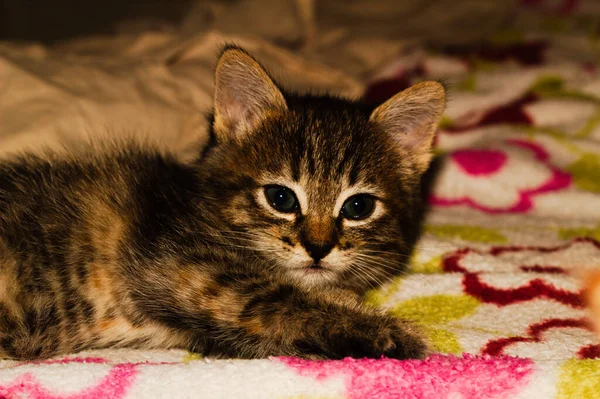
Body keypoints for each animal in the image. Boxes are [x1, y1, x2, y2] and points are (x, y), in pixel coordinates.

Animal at [0, 45, 442, 360]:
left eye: (357, 208)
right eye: (280, 198)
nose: (318, 248)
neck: (205, 207)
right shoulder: (180, 269)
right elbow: (279, 298)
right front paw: (391, 332)